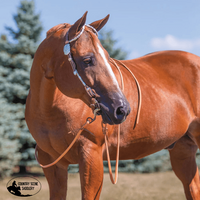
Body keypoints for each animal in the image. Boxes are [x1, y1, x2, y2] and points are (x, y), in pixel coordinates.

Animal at [25, 11, 200, 199]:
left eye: (108, 57)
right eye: (87, 60)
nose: (122, 109)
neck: (49, 112)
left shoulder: (91, 156)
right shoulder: (52, 164)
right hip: (183, 148)